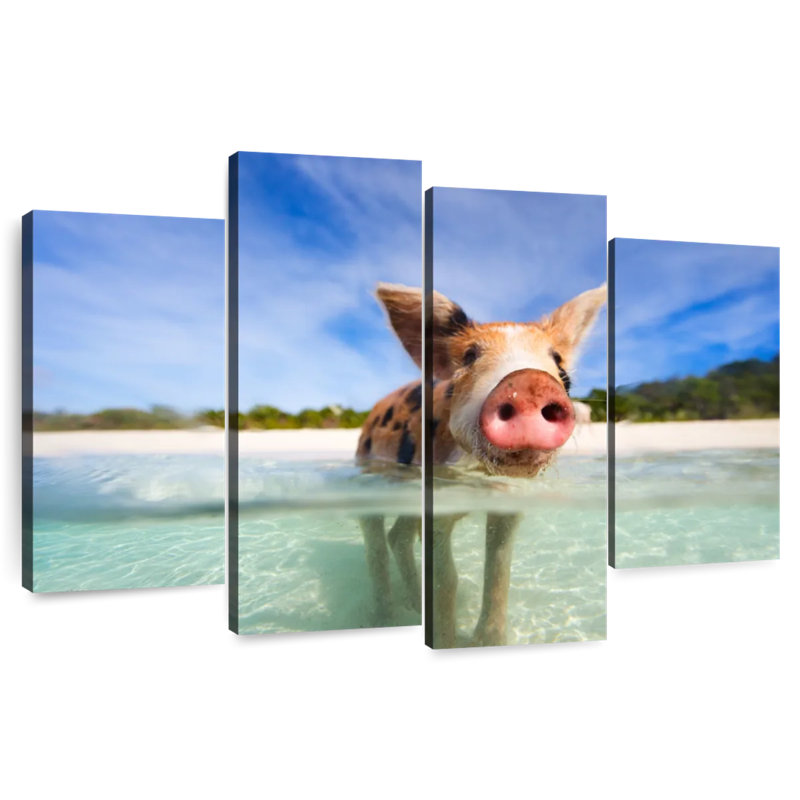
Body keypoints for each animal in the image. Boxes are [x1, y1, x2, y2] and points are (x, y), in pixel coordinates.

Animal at [357, 282, 606, 646]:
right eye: (470, 356)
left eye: (558, 362)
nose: (529, 382)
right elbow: (447, 580)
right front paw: (446, 641)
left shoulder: (509, 504)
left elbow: (499, 569)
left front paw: (489, 641)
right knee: (375, 537)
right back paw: (385, 618)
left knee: (398, 536)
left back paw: (413, 605)